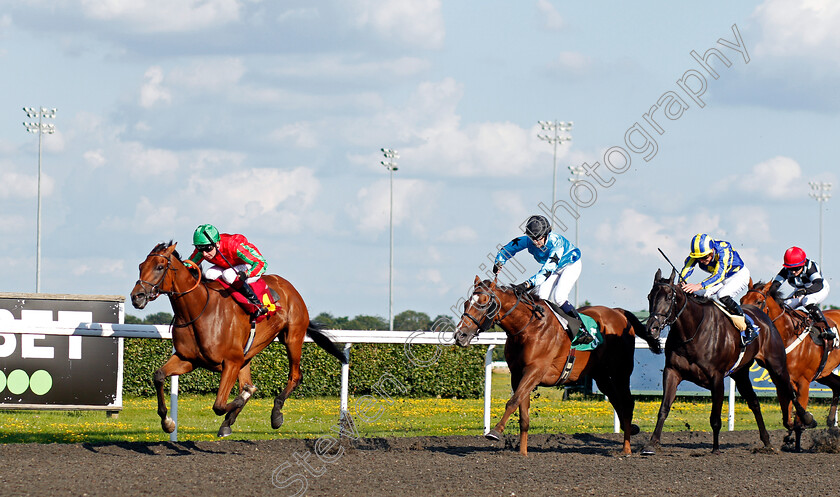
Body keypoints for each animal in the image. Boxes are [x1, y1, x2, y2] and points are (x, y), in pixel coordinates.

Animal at [128, 242, 344, 436]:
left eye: (159, 267)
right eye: (140, 266)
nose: (136, 296)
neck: (199, 311)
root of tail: (287, 286)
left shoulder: (230, 362)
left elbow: (220, 404)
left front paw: (245, 397)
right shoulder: (188, 359)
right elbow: (158, 375)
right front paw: (168, 422)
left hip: (292, 338)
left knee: (295, 376)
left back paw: (276, 414)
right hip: (247, 354)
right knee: (248, 381)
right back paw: (228, 423)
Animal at [450, 278, 660, 456]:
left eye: (484, 302)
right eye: (466, 303)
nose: (460, 335)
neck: (528, 327)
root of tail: (619, 312)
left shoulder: (535, 370)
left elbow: (513, 401)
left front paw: (495, 431)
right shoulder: (517, 374)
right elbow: (523, 412)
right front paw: (523, 452)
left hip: (620, 372)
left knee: (627, 403)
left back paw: (627, 449)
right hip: (601, 376)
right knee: (617, 402)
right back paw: (630, 431)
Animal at [644, 270, 812, 456]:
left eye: (668, 297)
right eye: (650, 297)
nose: (652, 328)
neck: (692, 331)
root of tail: (763, 315)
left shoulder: (716, 377)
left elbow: (715, 418)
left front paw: (716, 448)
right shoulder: (672, 371)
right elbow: (664, 408)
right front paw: (652, 444)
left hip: (776, 365)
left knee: (789, 390)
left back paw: (806, 418)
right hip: (740, 373)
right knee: (754, 402)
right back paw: (767, 441)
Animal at [740, 280, 840, 452]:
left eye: (758, 301)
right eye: (741, 300)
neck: (788, 335)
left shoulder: (803, 383)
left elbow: (800, 419)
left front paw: (798, 441)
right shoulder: (780, 382)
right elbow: (787, 419)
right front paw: (789, 437)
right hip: (823, 373)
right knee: (838, 386)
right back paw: (831, 422)